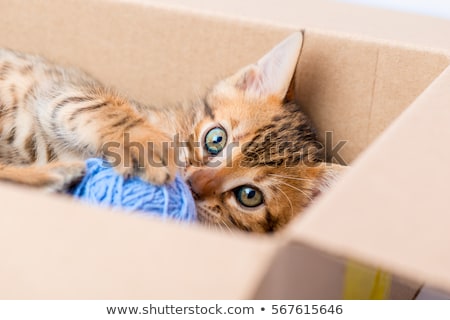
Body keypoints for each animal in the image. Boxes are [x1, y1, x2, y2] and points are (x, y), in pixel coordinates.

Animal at [0, 32, 342, 232]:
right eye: (216, 139)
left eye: (249, 196)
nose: (193, 184)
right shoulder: (61, 90)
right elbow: (102, 108)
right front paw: (147, 146)